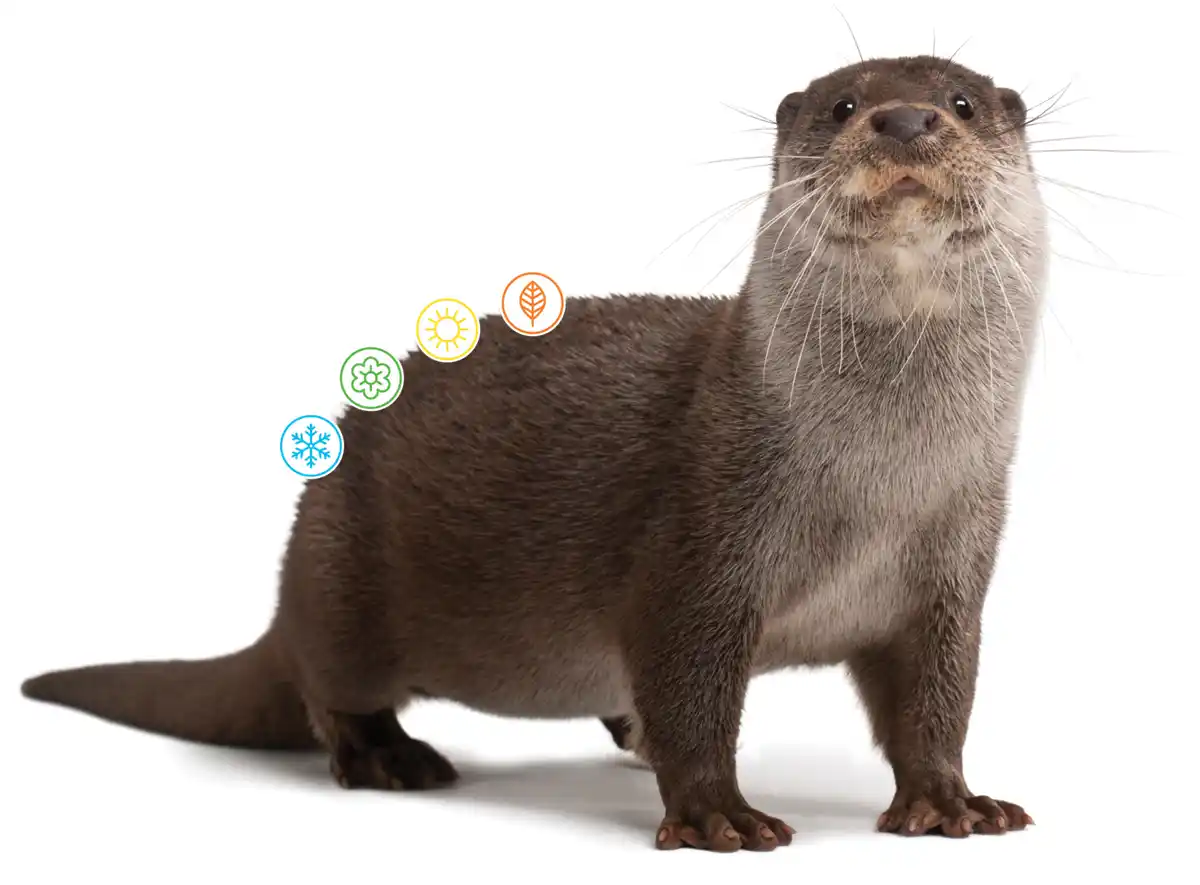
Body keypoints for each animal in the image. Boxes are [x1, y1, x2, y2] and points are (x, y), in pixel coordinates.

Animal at [22, 55, 1044, 853]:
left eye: (961, 102)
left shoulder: (953, 570)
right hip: (341, 573)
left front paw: (953, 800)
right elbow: (690, 685)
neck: (877, 488)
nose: (904, 118)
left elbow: (935, 699)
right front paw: (718, 815)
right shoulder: (701, 535)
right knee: (329, 688)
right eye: (842, 104)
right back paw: (390, 757)